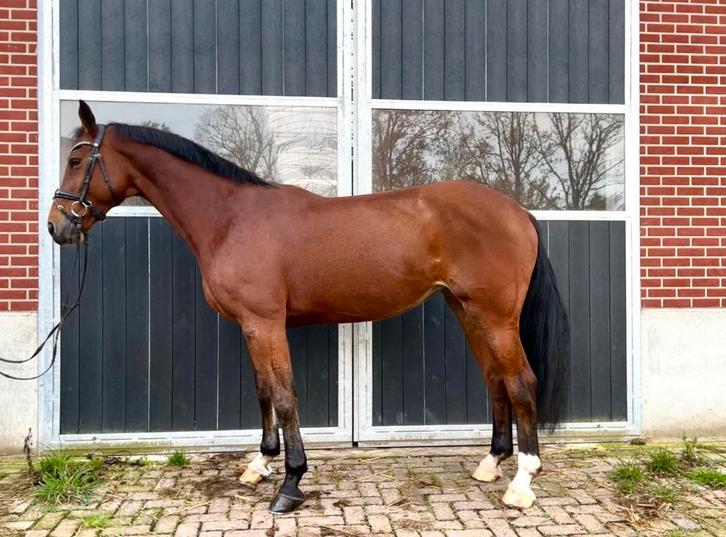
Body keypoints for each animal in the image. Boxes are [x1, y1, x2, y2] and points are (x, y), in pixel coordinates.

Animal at [47, 101, 570, 513]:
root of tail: (517, 211)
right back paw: (490, 463)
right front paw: (260, 463)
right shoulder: (251, 326)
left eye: (75, 159)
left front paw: (290, 484)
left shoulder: (266, 324)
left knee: (522, 383)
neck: (231, 219)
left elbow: (284, 396)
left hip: (496, 317)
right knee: (496, 380)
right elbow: (263, 392)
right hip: (467, 311)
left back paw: (522, 482)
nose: (57, 226)